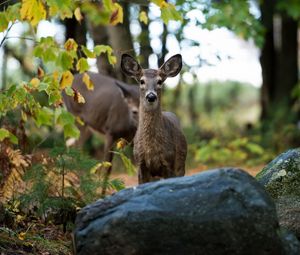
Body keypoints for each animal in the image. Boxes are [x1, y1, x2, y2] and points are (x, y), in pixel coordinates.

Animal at [120, 53, 186, 183]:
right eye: (141, 81)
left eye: (159, 81)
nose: (151, 96)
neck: (151, 150)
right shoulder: (140, 164)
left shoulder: (169, 162)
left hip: (181, 166)